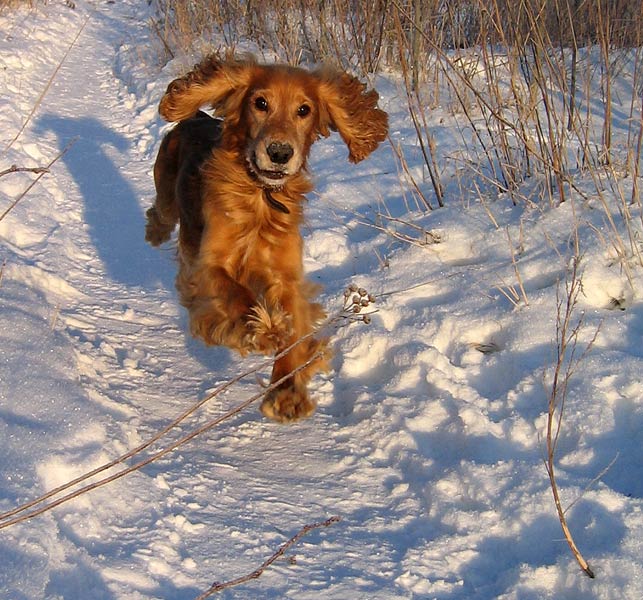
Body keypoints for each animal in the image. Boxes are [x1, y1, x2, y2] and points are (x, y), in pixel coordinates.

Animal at [146, 56, 388, 422]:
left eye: (304, 110)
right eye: (260, 103)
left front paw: (287, 392)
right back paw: (154, 233)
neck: (261, 197)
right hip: (167, 196)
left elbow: (294, 332)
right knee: (159, 213)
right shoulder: (207, 267)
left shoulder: (286, 277)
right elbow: (237, 294)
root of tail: (197, 116)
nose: (279, 152)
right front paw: (265, 328)